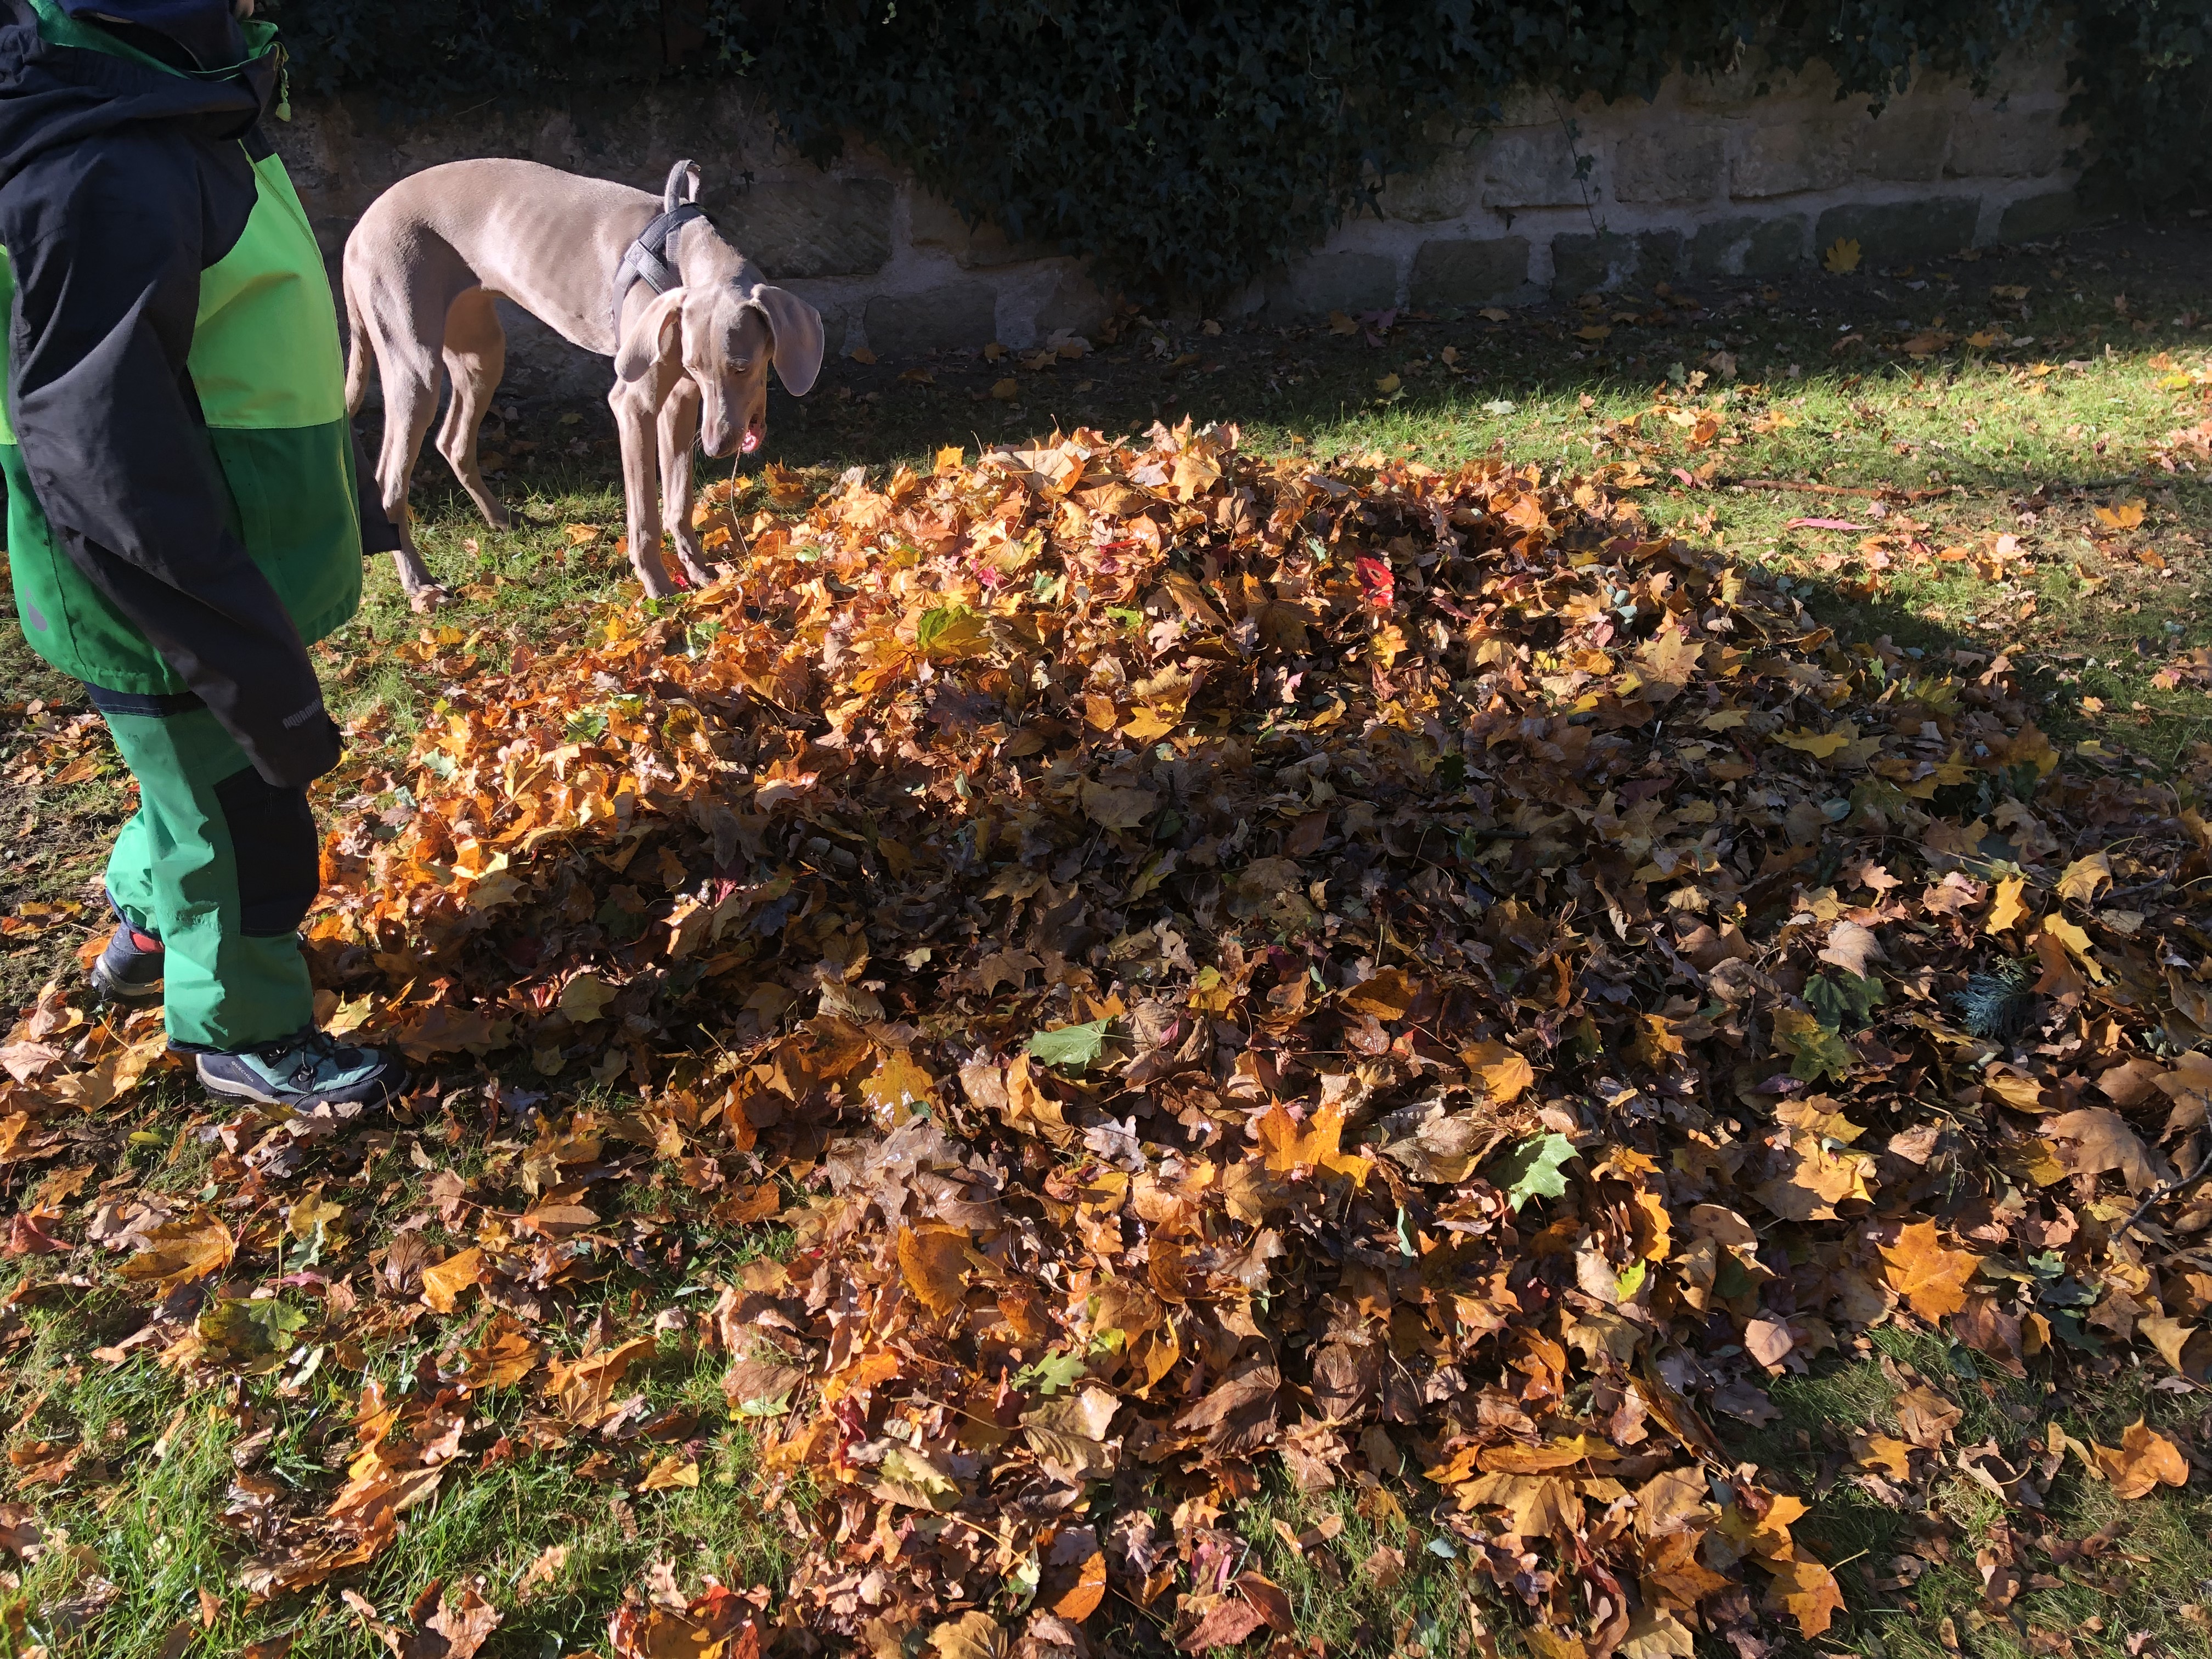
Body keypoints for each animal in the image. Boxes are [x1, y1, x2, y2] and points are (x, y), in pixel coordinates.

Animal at [341, 157, 825, 604]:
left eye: (742, 367)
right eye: (702, 367)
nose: (716, 447)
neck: (681, 254)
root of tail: (357, 230)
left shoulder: (681, 402)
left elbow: (679, 501)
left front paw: (702, 572)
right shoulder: (634, 403)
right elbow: (646, 516)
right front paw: (658, 587)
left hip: (481, 351)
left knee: (452, 441)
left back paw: (502, 519)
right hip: (414, 364)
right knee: (390, 485)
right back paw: (419, 584)